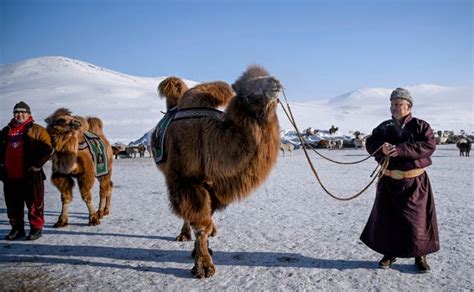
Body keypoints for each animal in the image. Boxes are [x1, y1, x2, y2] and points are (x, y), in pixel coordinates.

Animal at [153, 66, 282, 278]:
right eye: (247, 85)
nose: (275, 82)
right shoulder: (187, 180)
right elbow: (200, 224)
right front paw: (204, 267)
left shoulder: (215, 185)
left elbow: (206, 219)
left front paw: (203, 251)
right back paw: (183, 235)